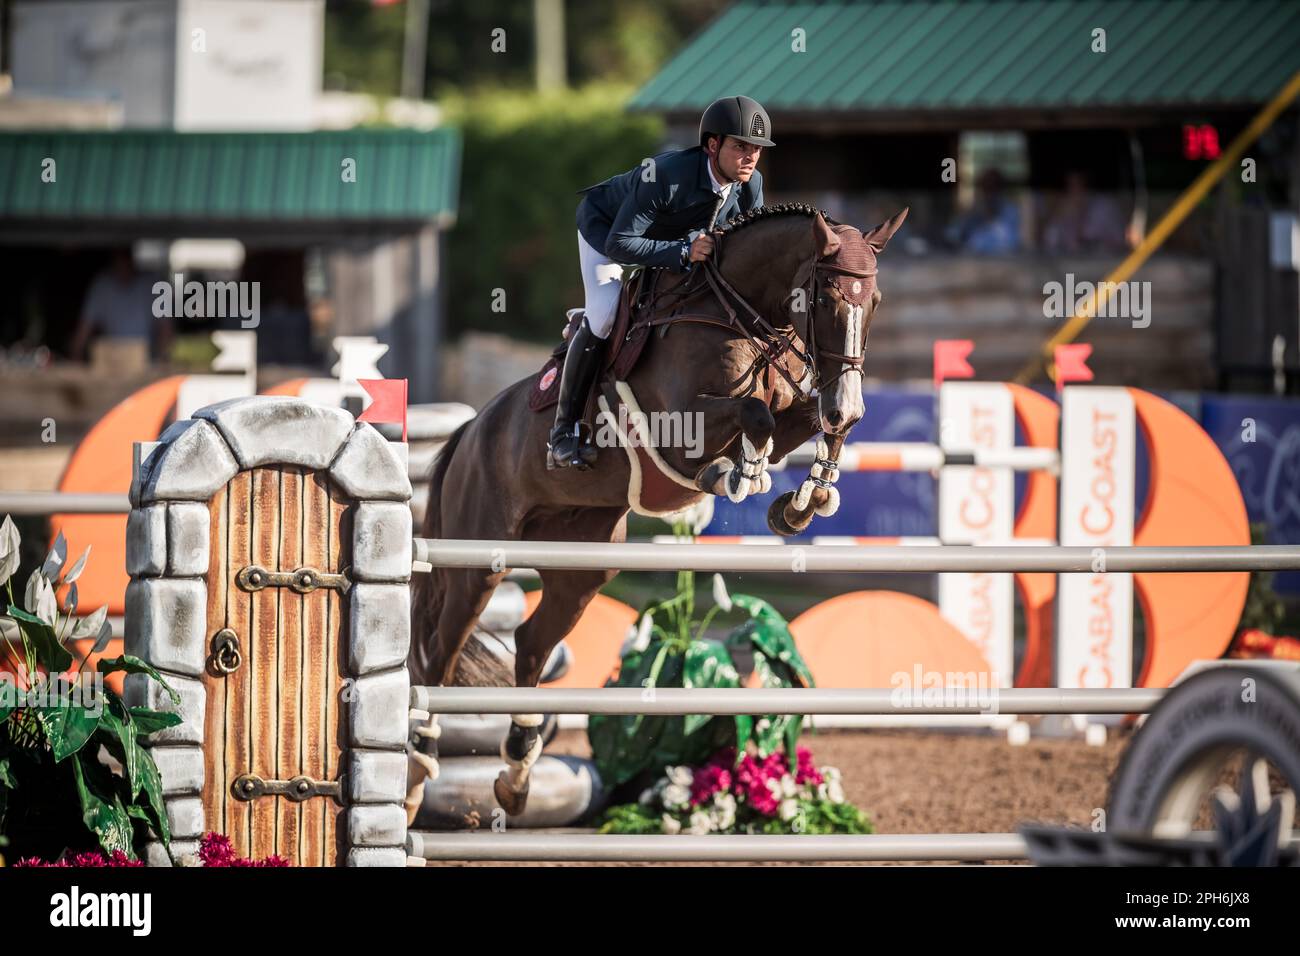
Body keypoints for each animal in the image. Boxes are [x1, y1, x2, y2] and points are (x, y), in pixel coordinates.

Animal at [405, 201, 904, 816]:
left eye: (874, 301)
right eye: (825, 299)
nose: (849, 402)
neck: (741, 316)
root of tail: (472, 431)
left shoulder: (795, 407)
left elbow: (802, 420)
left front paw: (800, 503)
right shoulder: (678, 429)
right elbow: (753, 415)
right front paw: (736, 474)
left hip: (581, 567)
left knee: (531, 644)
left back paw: (516, 777)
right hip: (476, 563)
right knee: (438, 656)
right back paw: (418, 772)